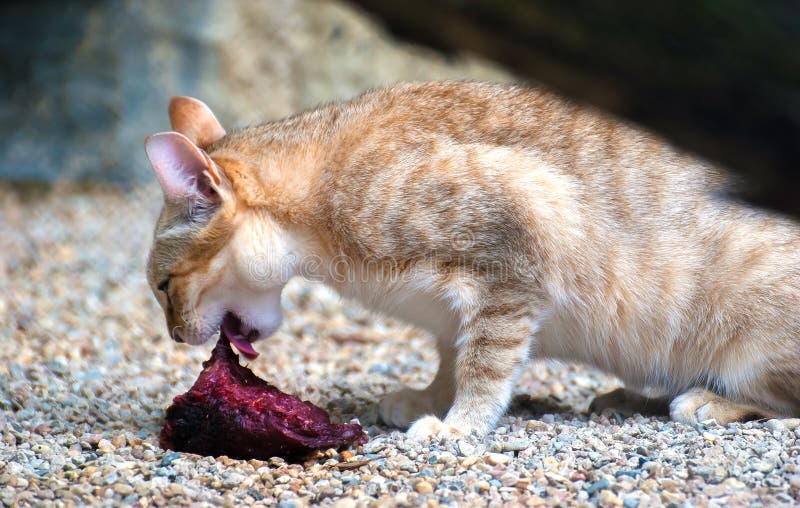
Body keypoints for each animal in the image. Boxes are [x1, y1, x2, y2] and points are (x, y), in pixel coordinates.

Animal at [144, 81, 800, 438]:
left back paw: (708, 399)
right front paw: (430, 398)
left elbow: (485, 363)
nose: (174, 336)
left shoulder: (521, 239)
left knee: (782, 406)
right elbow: (450, 354)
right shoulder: (451, 311)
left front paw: (459, 425)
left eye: (163, 285)